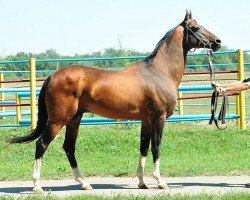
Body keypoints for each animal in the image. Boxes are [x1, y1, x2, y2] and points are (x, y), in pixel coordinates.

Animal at [10, 10, 221, 193]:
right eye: (196, 27)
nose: (218, 41)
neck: (159, 71)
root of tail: (52, 76)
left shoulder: (146, 121)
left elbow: (143, 148)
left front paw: (142, 182)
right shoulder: (159, 118)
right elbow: (156, 148)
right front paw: (160, 182)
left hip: (74, 120)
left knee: (69, 148)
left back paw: (84, 183)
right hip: (58, 120)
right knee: (41, 144)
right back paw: (37, 186)